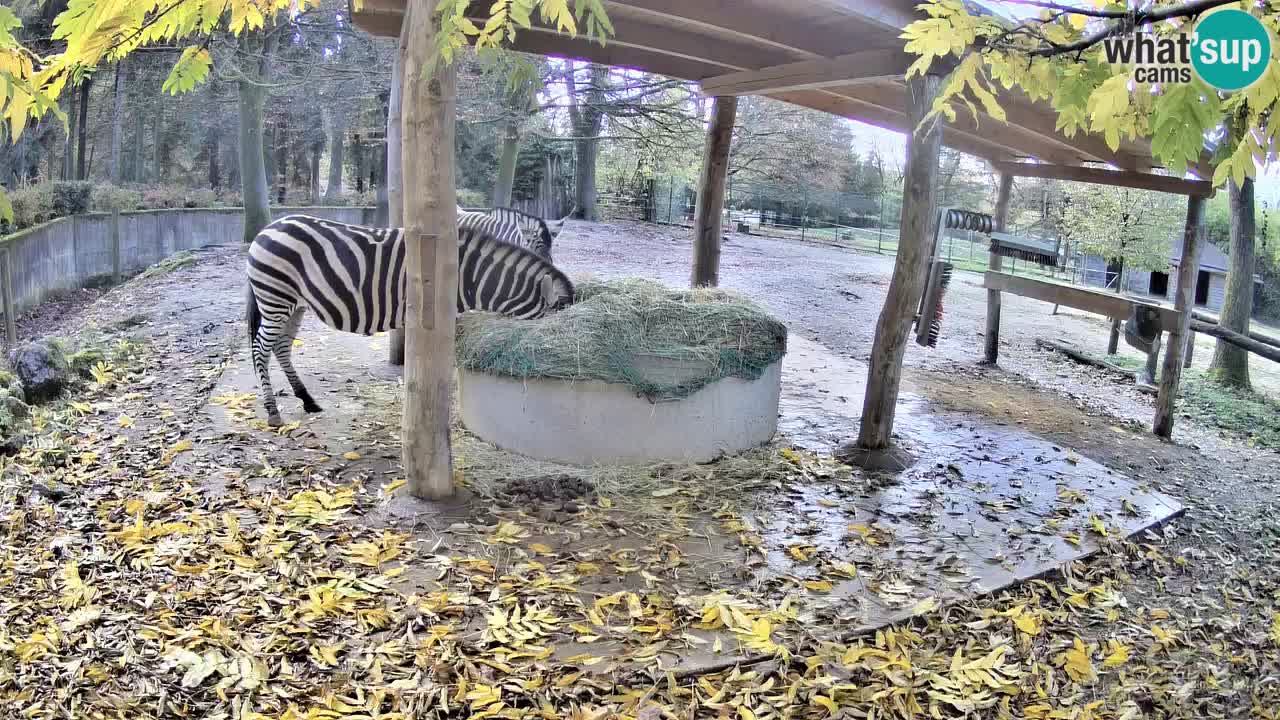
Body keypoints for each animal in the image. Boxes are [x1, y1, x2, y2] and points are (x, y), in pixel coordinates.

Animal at [246, 213, 574, 427]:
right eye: (554, 330)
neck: (471, 277)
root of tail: (267, 228)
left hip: (295, 304)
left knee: (281, 348)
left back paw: (307, 400)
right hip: (276, 297)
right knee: (261, 348)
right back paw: (272, 411)